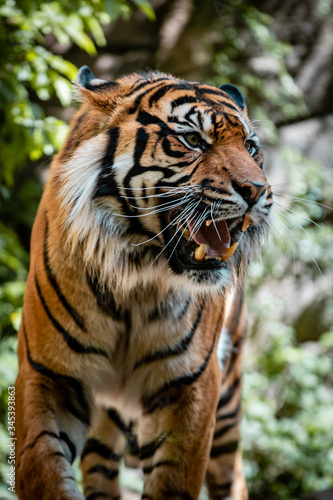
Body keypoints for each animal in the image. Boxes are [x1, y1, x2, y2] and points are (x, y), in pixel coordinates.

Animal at [14, 66, 272, 500]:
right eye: (192, 140)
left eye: (252, 148)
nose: (257, 191)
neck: (137, 278)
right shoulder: (47, 374)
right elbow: (44, 470)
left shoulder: (191, 384)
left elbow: (173, 480)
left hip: (229, 399)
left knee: (232, 475)